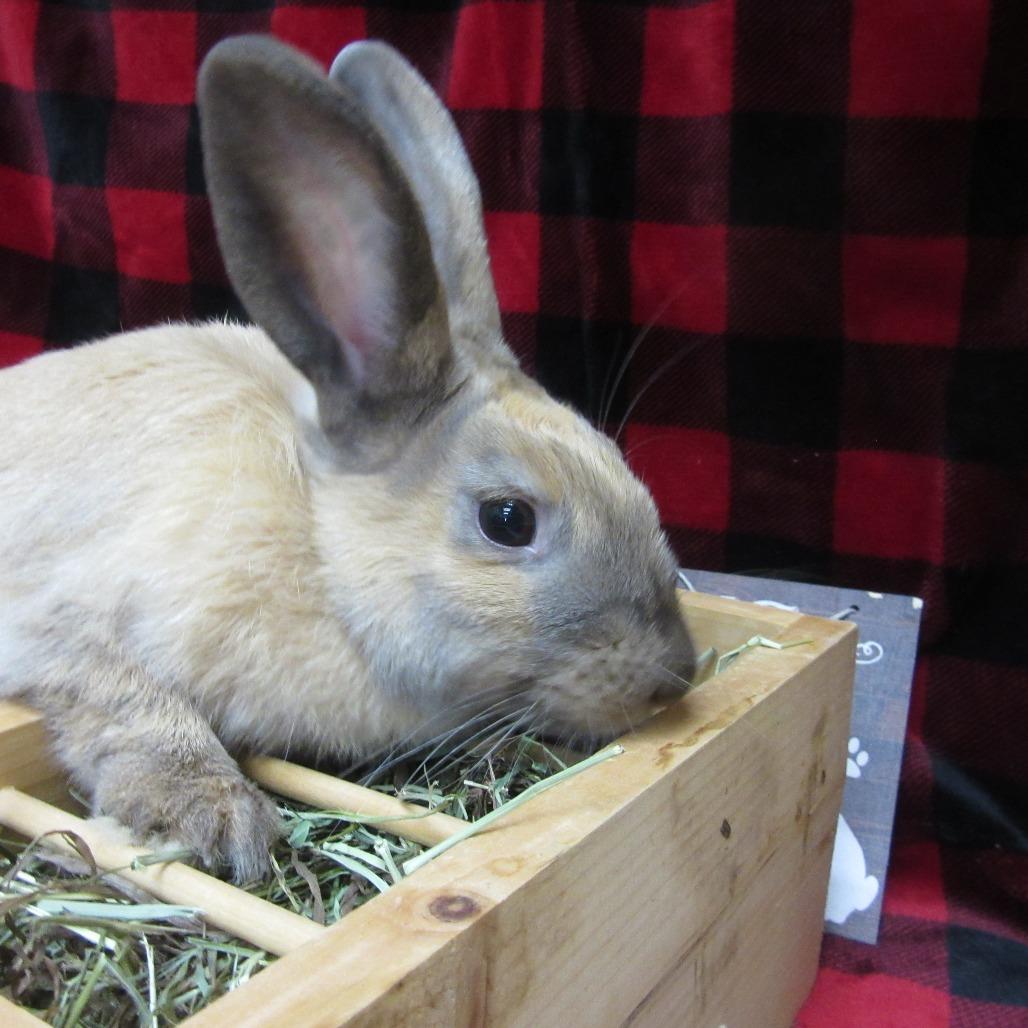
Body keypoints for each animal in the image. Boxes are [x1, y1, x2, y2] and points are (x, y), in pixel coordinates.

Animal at [0, 35, 695, 881]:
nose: (677, 675)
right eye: (507, 519)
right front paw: (216, 816)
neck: (318, 545)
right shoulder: (56, 626)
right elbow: (135, 705)